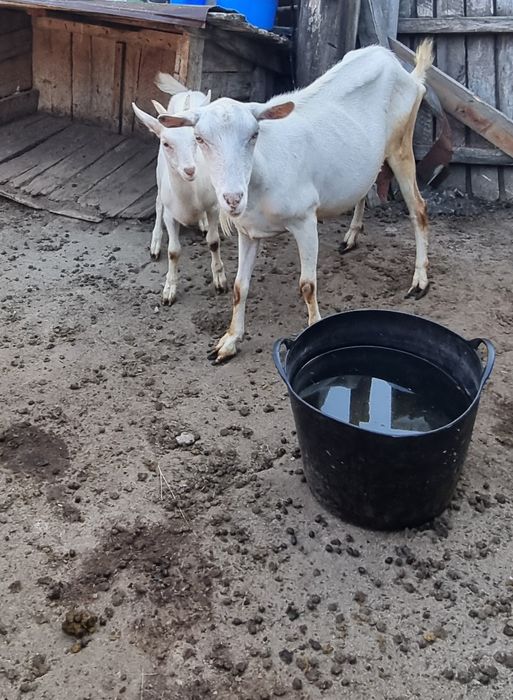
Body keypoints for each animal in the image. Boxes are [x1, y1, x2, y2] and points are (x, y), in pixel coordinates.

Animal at [132, 73, 227, 305]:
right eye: (166, 143)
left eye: (196, 139)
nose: (190, 170)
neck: (189, 198)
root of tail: (187, 93)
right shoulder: (171, 213)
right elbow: (174, 252)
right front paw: (169, 291)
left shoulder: (213, 206)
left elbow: (213, 242)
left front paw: (220, 281)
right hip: (159, 175)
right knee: (157, 203)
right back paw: (155, 243)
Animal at [159, 42, 433, 360]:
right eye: (200, 138)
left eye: (254, 134)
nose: (232, 198)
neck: (262, 176)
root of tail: (404, 71)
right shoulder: (247, 231)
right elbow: (240, 287)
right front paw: (228, 342)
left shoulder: (305, 219)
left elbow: (307, 285)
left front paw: (314, 330)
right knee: (364, 187)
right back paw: (351, 236)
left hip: (402, 144)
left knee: (419, 209)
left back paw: (419, 280)